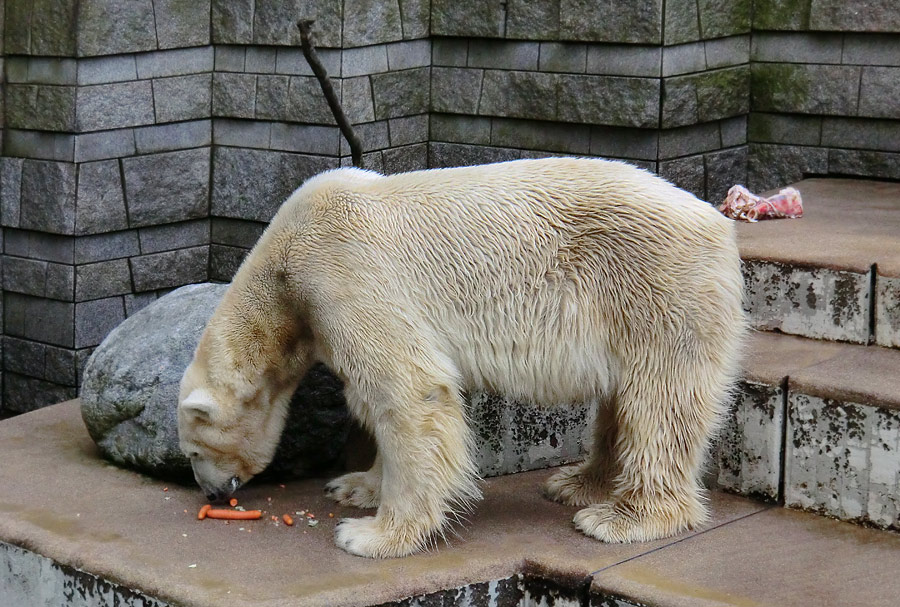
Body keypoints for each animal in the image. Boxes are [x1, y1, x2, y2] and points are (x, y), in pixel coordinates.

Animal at [176, 158, 744, 560]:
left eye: (194, 452)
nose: (215, 494)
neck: (282, 268)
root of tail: (718, 223)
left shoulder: (342, 273)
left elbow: (408, 390)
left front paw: (372, 535)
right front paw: (355, 487)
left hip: (653, 289)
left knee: (659, 402)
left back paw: (623, 518)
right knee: (620, 401)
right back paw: (577, 485)